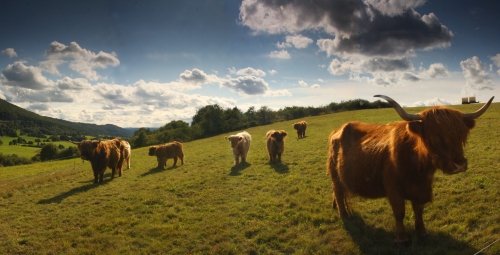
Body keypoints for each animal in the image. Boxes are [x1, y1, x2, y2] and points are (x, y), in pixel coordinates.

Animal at [326, 94, 494, 244]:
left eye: (461, 135)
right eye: (435, 137)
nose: (459, 165)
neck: (419, 169)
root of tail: (337, 130)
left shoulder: (421, 188)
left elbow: (418, 209)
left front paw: (422, 231)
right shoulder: (393, 189)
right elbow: (399, 212)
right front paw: (401, 237)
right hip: (335, 175)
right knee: (338, 193)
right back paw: (344, 216)